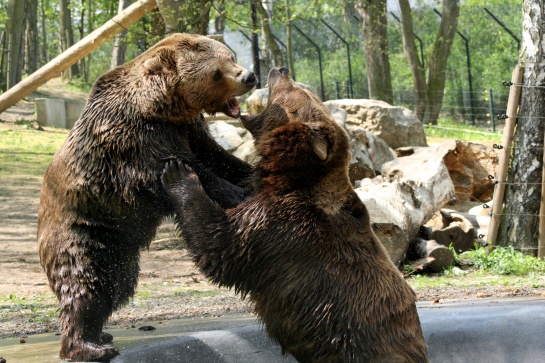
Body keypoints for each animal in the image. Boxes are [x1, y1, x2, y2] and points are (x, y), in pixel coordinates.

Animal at [37, 33, 258, 362]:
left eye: (230, 57)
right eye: (217, 72)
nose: (249, 76)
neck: (160, 108)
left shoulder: (188, 129)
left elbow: (219, 157)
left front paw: (251, 175)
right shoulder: (136, 143)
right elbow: (186, 170)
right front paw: (239, 192)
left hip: (119, 250)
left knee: (114, 287)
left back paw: (101, 333)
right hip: (81, 233)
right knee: (83, 284)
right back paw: (88, 347)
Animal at [162, 67, 430, 362]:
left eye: (295, 91)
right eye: (307, 91)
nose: (280, 69)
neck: (295, 179)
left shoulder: (284, 229)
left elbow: (220, 244)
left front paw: (180, 172)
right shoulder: (263, 197)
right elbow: (236, 179)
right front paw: (194, 136)